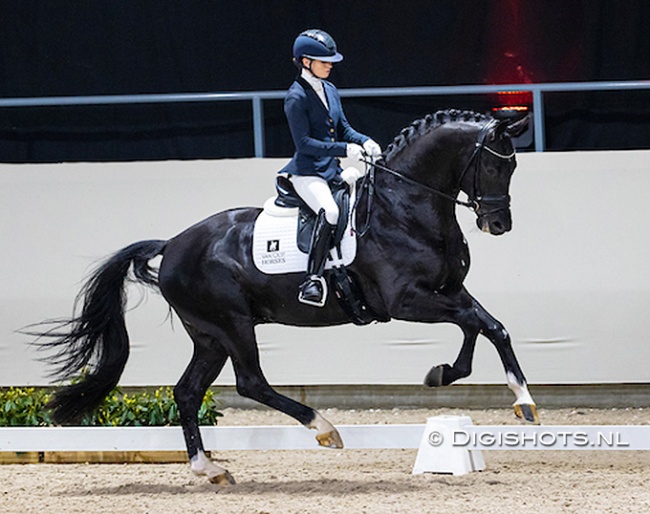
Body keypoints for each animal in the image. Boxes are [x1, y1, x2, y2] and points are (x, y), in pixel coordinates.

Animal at [34, 109, 532, 484]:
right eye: (494, 165)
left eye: (512, 167)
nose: (498, 224)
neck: (404, 208)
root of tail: (172, 244)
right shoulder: (405, 301)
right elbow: (477, 323)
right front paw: (494, 390)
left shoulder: (448, 290)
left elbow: (489, 326)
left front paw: (480, 385)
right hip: (233, 325)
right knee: (250, 382)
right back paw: (324, 429)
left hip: (209, 336)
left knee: (188, 392)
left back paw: (209, 469)